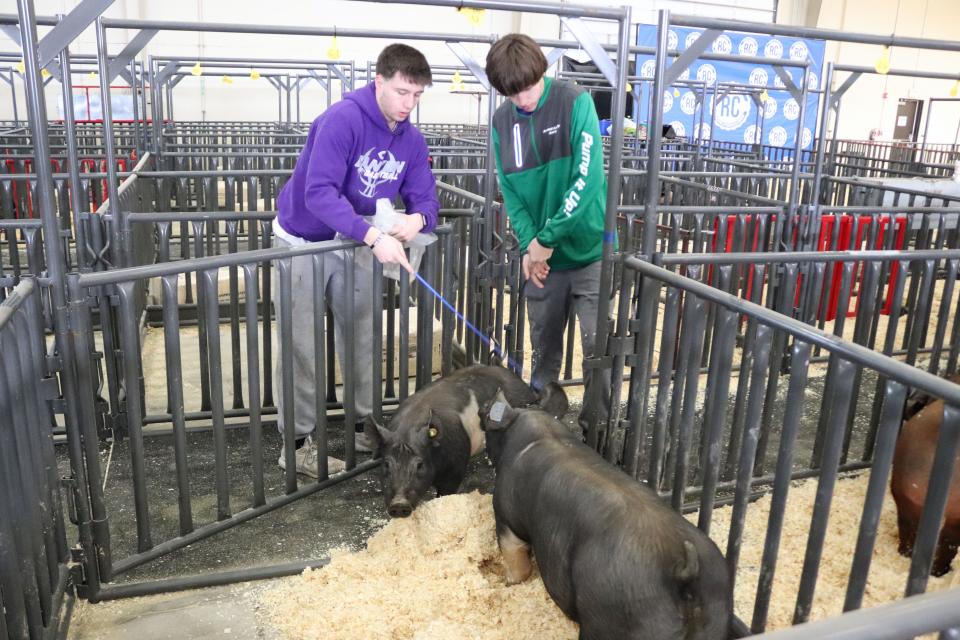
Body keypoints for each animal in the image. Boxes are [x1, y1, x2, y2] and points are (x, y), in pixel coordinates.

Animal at [484, 390, 732, 640]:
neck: (540, 435)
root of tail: (684, 572)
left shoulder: (505, 516)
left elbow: (515, 559)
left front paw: (508, 582)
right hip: (715, 617)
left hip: (616, 617)